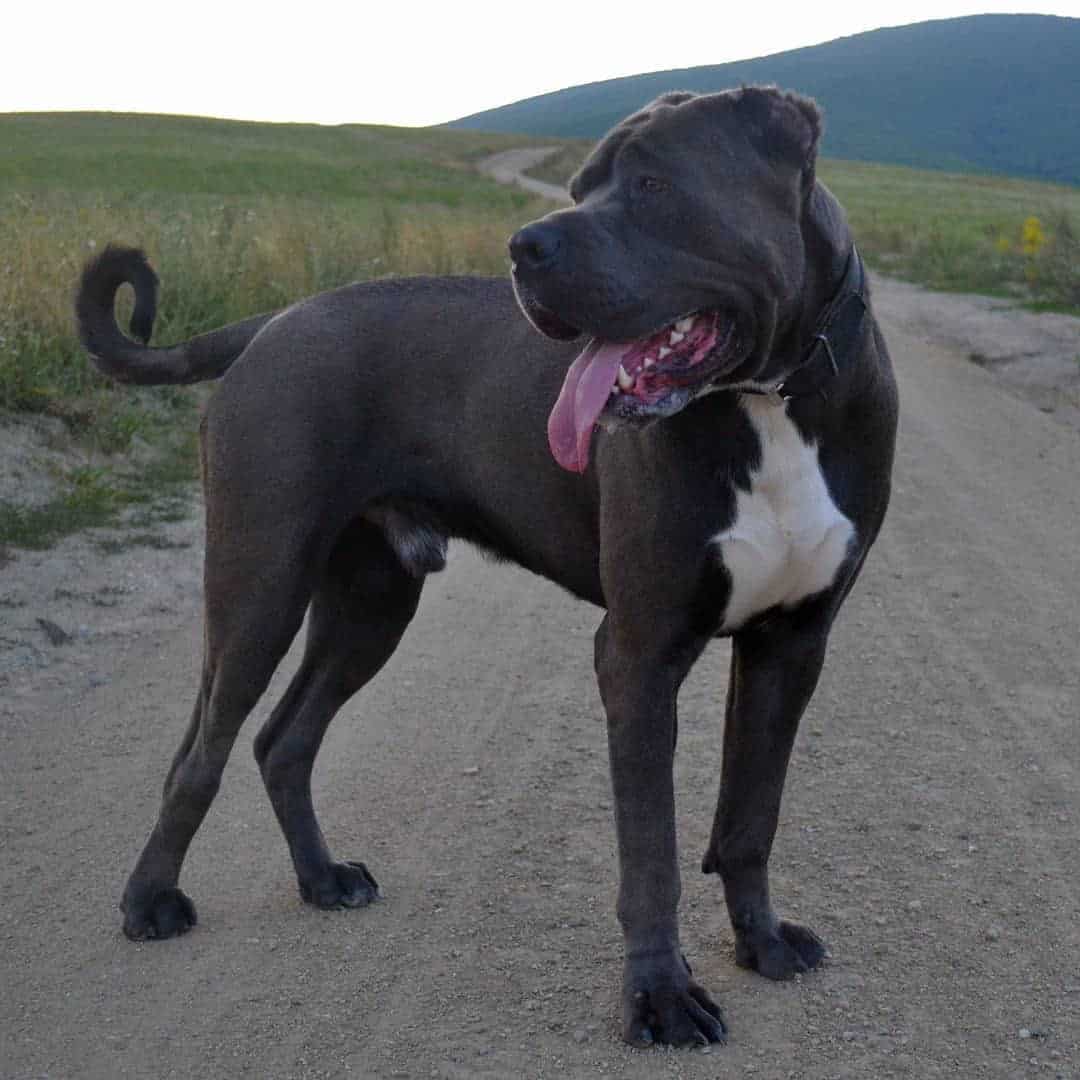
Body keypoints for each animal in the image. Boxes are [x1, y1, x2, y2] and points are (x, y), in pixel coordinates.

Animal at [79, 88, 898, 1049]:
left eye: (655, 183)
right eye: (580, 186)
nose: (525, 246)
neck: (770, 398)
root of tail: (274, 321)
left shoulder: (791, 645)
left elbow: (750, 817)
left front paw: (760, 941)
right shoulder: (640, 652)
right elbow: (650, 853)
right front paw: (660, 997)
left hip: (371, 602)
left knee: (284, 739)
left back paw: (322, 880)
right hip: (260, 583)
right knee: (199, 749)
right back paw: (149, 900)